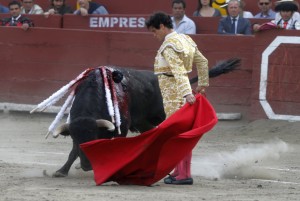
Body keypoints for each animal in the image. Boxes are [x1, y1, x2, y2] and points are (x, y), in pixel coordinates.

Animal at [32, 57, 239, 176]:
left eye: (94, 137)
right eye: (77, 138)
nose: (87, 166)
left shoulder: (120, 128)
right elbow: (73, 151)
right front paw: (62, 171)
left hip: (163, 114)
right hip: (144, 123)